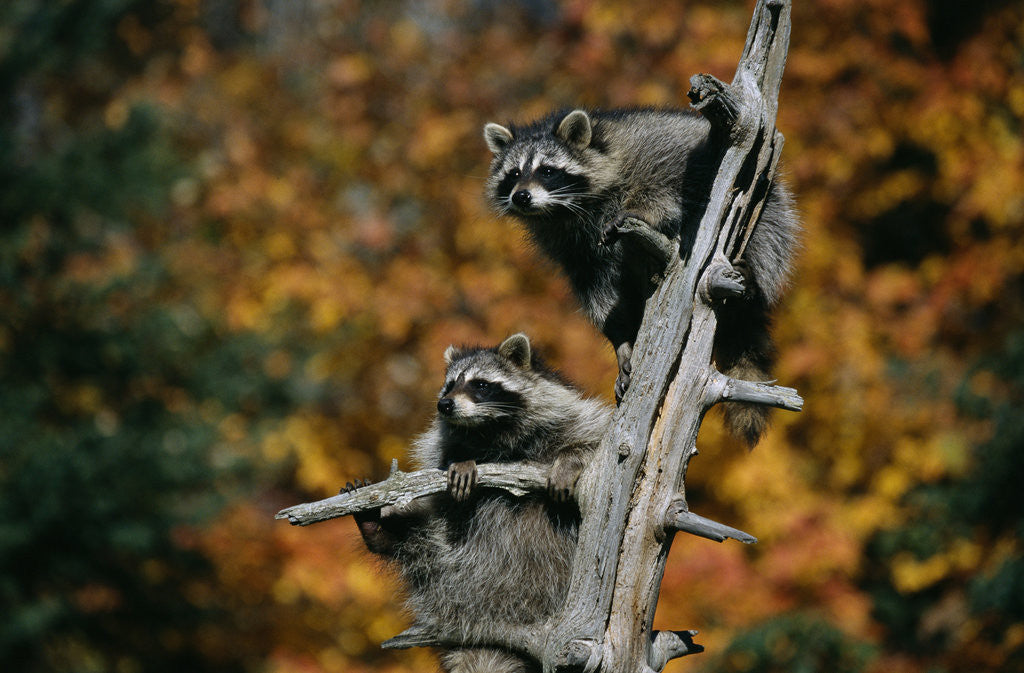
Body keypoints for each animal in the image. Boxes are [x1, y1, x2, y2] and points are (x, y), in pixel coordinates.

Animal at [349, 333, 612, 673]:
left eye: (481, 384)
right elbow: (441, 483)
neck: (492, 431)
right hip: (450, 573)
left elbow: (593, 439)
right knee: (421, 545)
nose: (444, 404)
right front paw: (461, 460)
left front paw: (569, 460)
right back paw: (379, 531)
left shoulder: (572, 417)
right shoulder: (440, 448)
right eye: (449, 385)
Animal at [484, 107, 800, 446]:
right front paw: (621, 338)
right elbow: (601, 295)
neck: (568, 209)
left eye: (546, 171)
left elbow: (672, 183)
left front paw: (639, 209)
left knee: (765, 243)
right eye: (513, 174)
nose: (521, 196)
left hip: (771, 211)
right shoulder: (575, 252)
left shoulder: (655, 153)